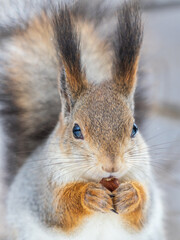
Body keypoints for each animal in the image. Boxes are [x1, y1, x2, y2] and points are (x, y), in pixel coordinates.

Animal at [0, 0, 165, 240]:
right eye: (76, 131)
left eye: (134, 128)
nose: (111, 165)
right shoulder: (43, 189)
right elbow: (59, 209)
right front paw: (88, 196)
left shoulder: (144, 176)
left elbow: (144, 210)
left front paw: (131, 195)